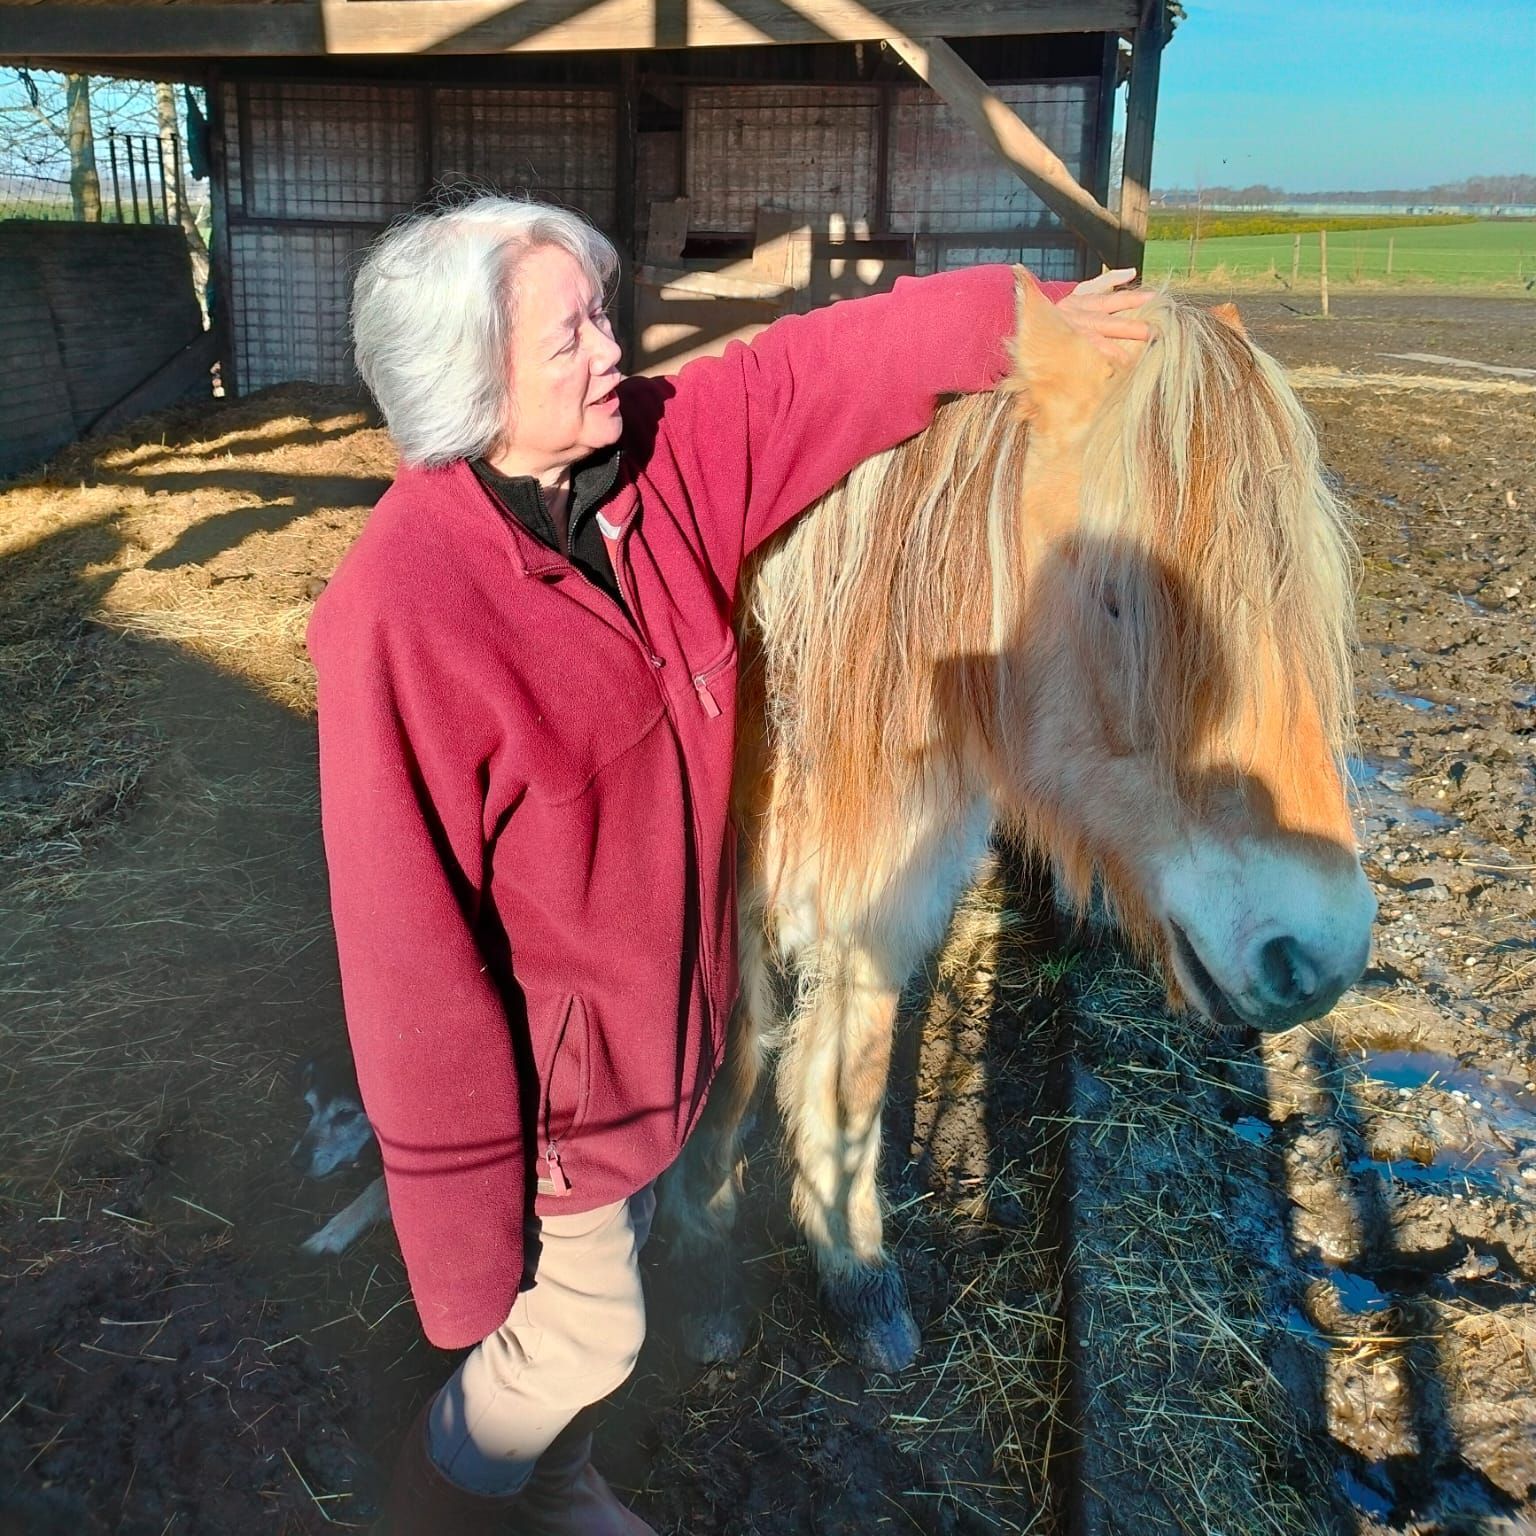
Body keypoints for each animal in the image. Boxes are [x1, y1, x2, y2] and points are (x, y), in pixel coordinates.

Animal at [664, 275, 1377, 1374]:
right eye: (1123, 599)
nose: (1323, 951)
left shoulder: (886, 895)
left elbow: (850, 1077)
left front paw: (858, 1276)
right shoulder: (734, 897)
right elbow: (737, 1055)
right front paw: (702, 1247)